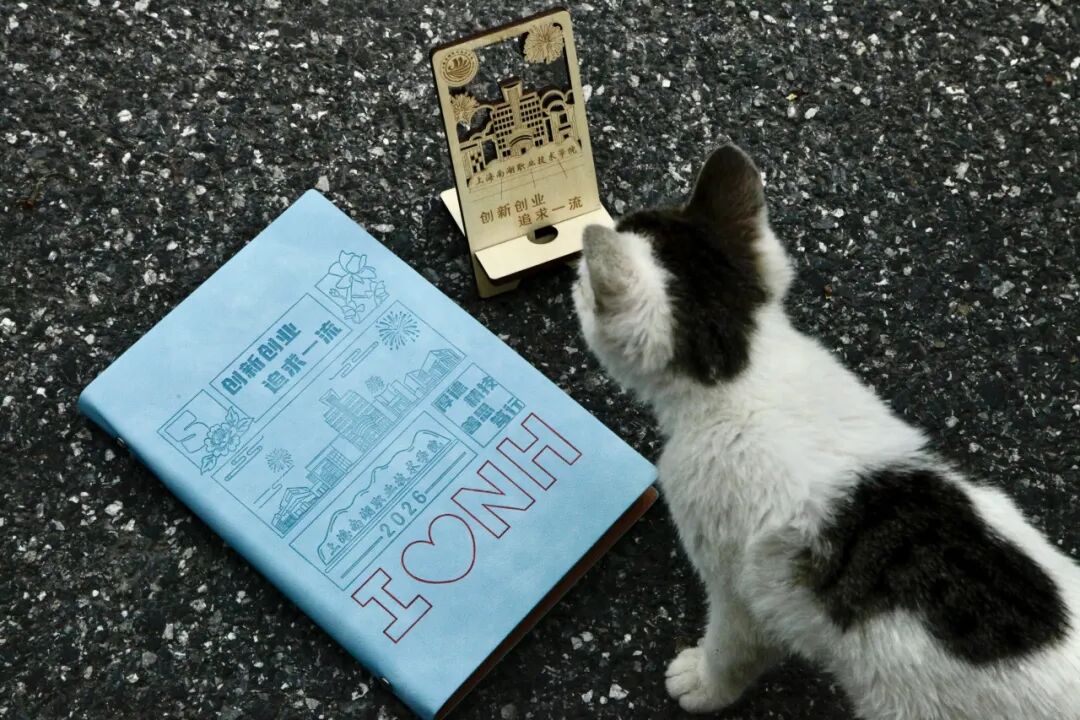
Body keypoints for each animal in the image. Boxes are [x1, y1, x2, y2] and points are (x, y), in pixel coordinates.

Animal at [571, 144, 1080, 720]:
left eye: (583, 282)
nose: (572, 271)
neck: (748, 374)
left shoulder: (741, 588)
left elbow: (731, 649)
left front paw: (702, 683)